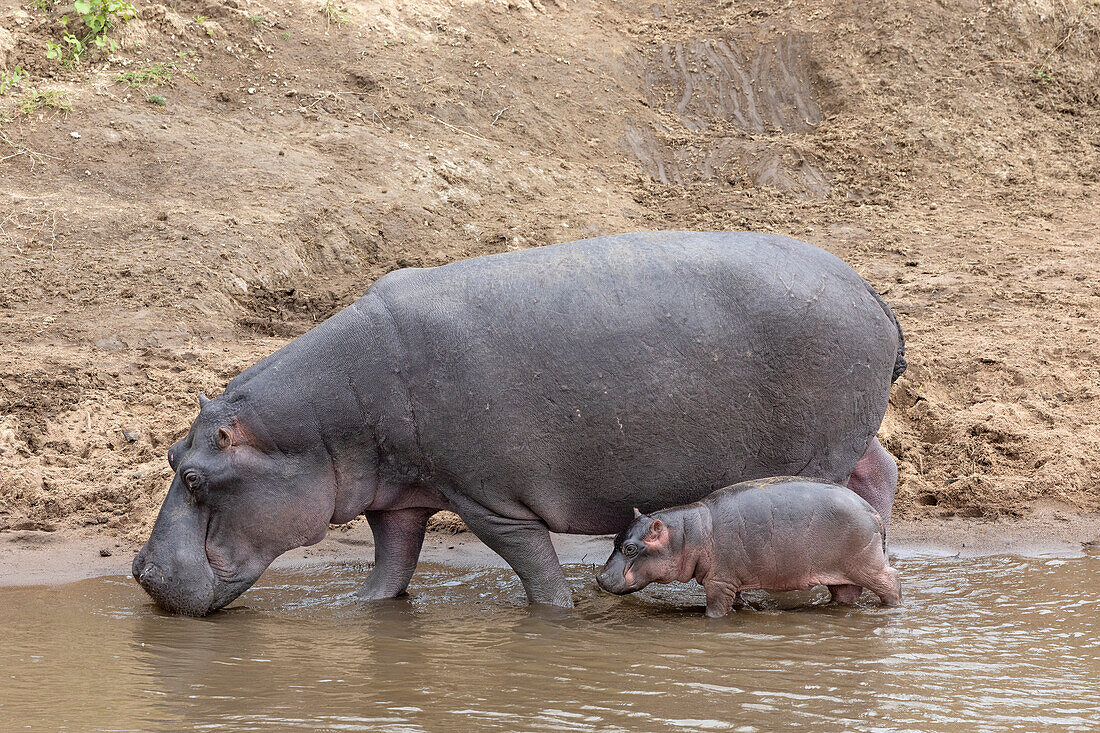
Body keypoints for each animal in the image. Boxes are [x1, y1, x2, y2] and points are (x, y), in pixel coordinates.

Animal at [602, 477, 902, 611]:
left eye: (630, 548)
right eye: (615, 539)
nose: (599, 577)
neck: (688, 533)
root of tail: (872, 510)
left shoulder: (719, 581)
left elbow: (716, 609)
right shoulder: (732, 580)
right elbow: (737, 600)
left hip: (867, 564)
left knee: (891, 581)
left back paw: (892, 608)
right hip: (843, 573)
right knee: (846, 593)